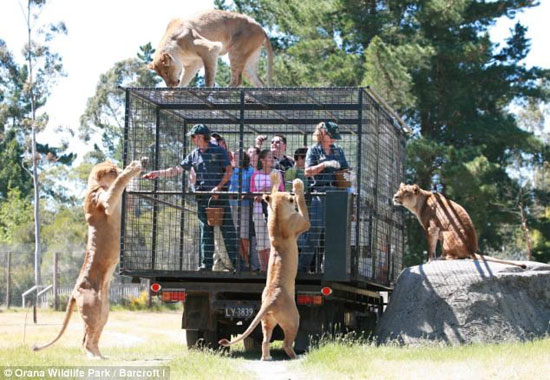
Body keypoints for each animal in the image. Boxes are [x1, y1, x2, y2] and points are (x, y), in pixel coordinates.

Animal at [32, 157, 147, 356]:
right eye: (113, 170)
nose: (120, 167)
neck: (95, 185)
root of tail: (73, 291)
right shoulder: (105, 201)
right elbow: (118, 185)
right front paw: (133, 168)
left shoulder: (125, 205)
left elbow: (129, 194)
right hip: (91, 307)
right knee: (85, 340)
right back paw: (94, 357)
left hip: (103, 311)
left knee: (91, 337)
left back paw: (101, 356)